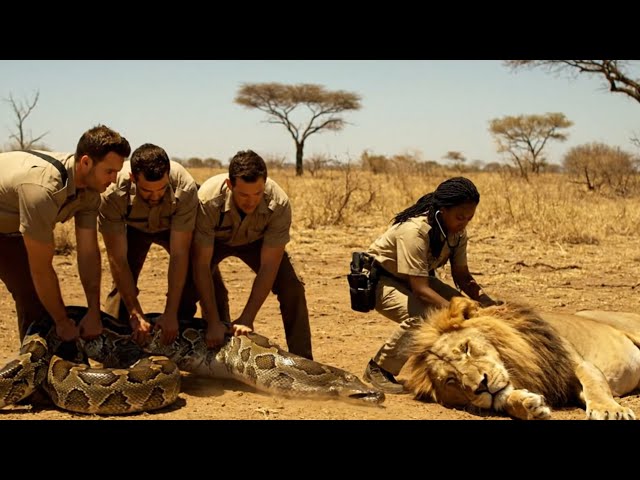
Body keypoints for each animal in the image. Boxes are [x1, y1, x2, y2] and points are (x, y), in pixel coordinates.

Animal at [404, 297, 640, 420]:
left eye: (466, 348)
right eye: (450, 381)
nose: (481, 386)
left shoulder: (576, 364)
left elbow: (594, 384)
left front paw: (611, 411)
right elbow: (503, 399)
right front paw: (527, 406)